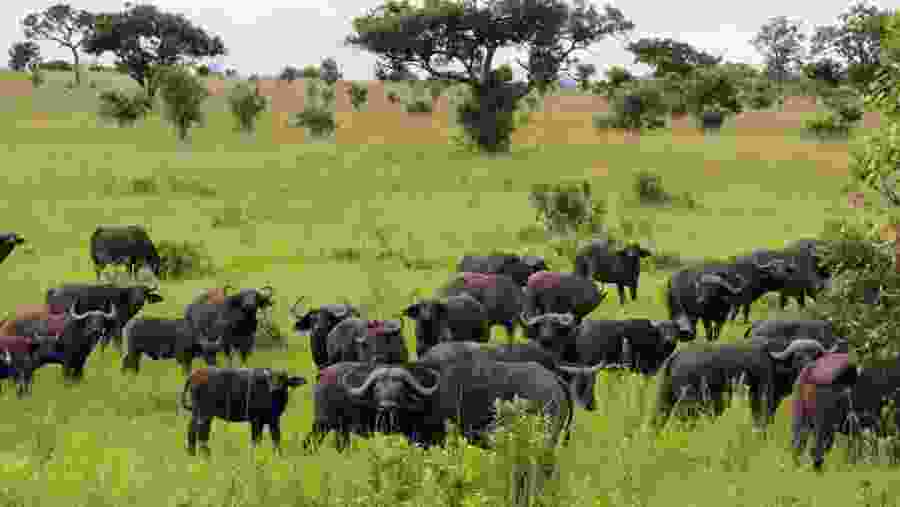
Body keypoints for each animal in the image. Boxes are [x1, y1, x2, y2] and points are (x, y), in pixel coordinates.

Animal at [653, 338, 830, 429]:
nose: (809, 366)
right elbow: (762, 419)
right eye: (798, 356)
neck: (775, 363)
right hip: (690, 403)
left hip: (666, 399)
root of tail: (676, 356)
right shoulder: (762, 397)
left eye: (815, 355)